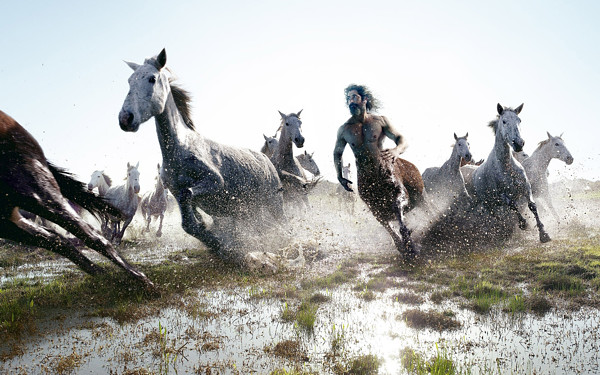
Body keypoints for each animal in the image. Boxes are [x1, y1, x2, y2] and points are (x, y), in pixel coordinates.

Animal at [0, 110, 155, 290]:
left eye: (139, 174)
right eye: (130, 174)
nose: (137, 188)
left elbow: (117, 231)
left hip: (35, 192)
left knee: (86, 235)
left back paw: (138, 280)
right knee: (57, 238)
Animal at [120, 48, 286, 258]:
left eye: (152, 78)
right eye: (129, 81)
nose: (125, 118)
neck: (179, 151)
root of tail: (266, 159)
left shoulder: (214, 182)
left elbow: (188, 197)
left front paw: (219, 242)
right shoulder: (176, 193)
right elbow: (189, 222)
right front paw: (215, 241)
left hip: (274, 202)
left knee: (284, 224)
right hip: (249, 208)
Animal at [472, 103, 552, 244]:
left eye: (519, 120)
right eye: (504, 121)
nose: (519, 143)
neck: (506, 167)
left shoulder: (526, 188)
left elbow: (532, 206)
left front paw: (543, 233)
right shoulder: (502, 195)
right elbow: (513, 206)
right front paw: (524, 224)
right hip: (489, 204)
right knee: (496, 216)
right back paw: (504, 231)